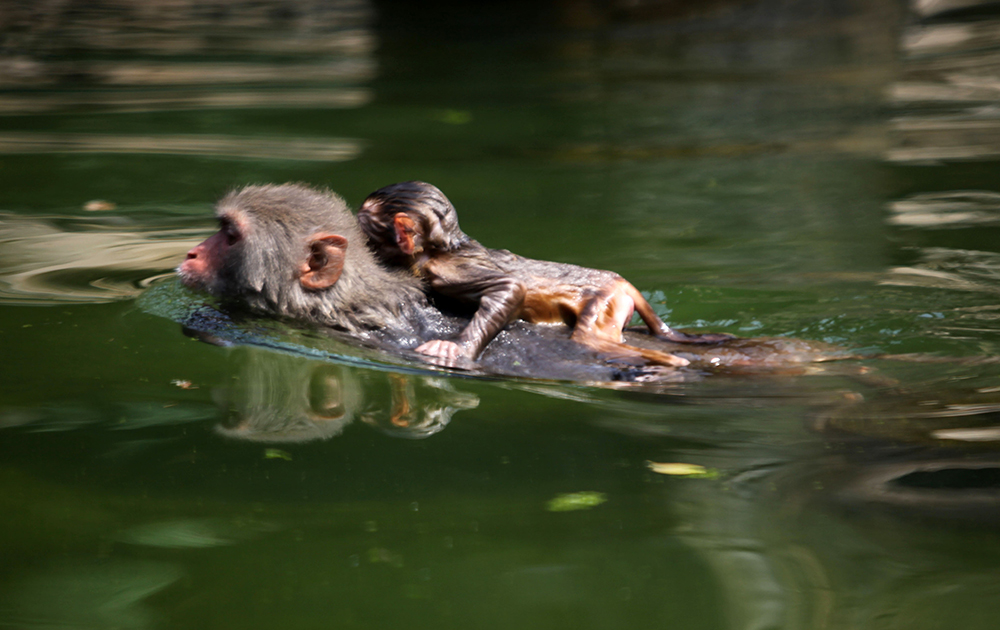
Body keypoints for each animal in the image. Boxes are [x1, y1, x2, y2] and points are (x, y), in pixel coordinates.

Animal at [356, 183, 732, 368]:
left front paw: (457, 348)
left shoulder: (445, 271)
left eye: (363, 222)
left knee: (590, 339)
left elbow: (510, 287)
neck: (440, 249)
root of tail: (623, 283)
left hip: (604, 305)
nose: (357, 231)